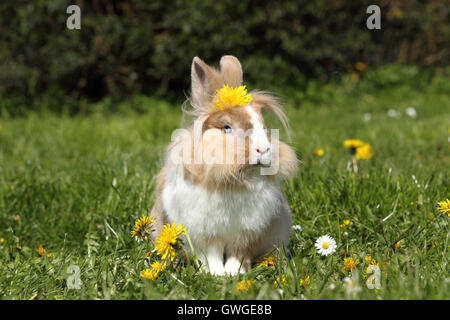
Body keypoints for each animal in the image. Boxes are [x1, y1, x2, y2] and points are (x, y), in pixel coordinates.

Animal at [150, 55, 298, 276]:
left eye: (264, 126)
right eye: (227, 127)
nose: (263, 149)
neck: (236, 180)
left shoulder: (247, 233)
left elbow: (239, 254)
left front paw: (234, 273)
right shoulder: (206, 234)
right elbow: (211, 255)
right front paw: (216, 274)